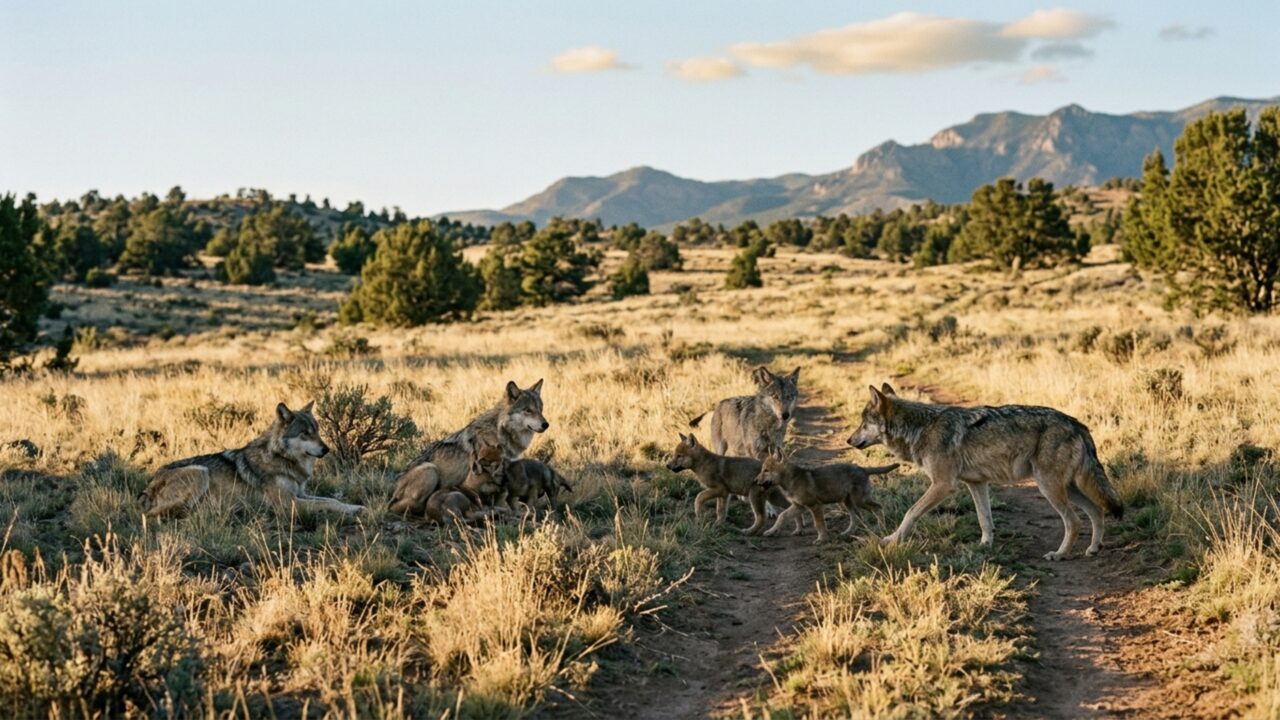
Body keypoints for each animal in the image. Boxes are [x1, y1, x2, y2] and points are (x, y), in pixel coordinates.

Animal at [140, 401, 363, 518]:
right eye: (305, 434)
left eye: (317, 431)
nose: (326, 449)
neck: (281, 458)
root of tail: (147, 487)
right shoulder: (288, 504)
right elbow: (330, 505)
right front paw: (354, 509)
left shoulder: (300, 494)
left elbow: (331, 499)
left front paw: (355, 506)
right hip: (200, 471)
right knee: (156, 514)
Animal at [665, 433, 793, 535]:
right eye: (674, 455)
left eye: (679, 456)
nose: (667, 465)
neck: (703, 464)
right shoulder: (725, 494)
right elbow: (721, 512)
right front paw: (718, 525)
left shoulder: (720, 489)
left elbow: (698, 497)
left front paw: (698, 513)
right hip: (773, 498)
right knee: (790, 508)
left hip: (754, 497)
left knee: (762, 518)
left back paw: (748, 532)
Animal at [754, 449, 893, 544]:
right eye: (762, 470)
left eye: (766, 470)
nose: (755, 481)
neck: (791, 479)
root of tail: (863, 469)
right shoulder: (799, 506)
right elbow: (782, 517)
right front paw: (771, 531)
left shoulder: (814, 505)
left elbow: (819, 524)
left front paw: (822, 539)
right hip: (847, 501)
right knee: (856, 517)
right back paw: (846, 533)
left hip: (859, 500)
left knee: (878, 508)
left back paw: (880, 528)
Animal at [847, 383, 1124, 561]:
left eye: (862, 424)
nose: (849, 440)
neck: (920, 428)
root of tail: (1078, 424)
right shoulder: (977, 483)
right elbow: (985, 519)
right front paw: (985, 546)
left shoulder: (943, 484)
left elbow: (911, 512)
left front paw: (891, 540)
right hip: (1068, 487)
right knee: (1097, 510)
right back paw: (1093, 549)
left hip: (1049, 487)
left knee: (1075, 521)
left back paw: (1060, 554)